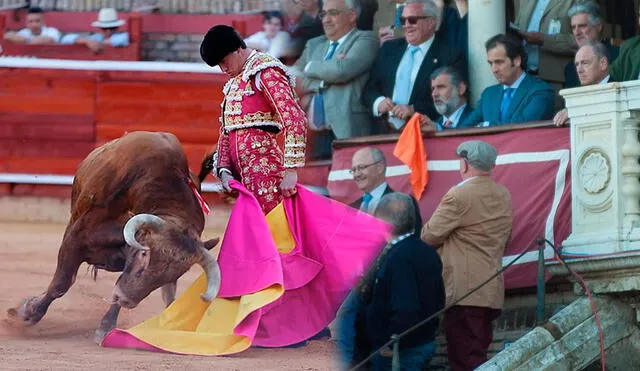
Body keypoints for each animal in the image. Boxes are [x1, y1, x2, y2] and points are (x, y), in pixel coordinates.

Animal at [6, 132, 222, 344]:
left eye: (173, 276)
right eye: (145, 255)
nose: (127, 300)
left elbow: (118, 286)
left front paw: (106, 327)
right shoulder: (75, 238)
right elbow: (61, 283)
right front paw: (27, 312)